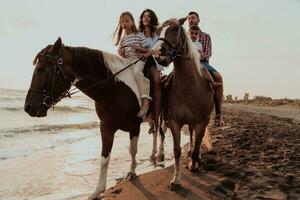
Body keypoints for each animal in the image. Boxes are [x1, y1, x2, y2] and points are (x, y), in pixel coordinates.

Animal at [23, 38, 163, 200]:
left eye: (41, 69)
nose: (28, 107)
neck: (115, 90)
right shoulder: (106, 127)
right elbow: (104, 159)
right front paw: (98, 191)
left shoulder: (134, 126)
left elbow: (132, 150)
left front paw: (131, 172)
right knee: (155, 133)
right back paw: (153, 154)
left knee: (162, 133)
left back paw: (160, 154)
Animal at [154, 19, 214, 191]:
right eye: (158, 31)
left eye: (175, 29)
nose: (158, 53)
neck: (189, 86)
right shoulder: (175, 121)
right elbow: (177, 151)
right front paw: (176, 180)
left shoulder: (201, 121)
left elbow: (197, 145)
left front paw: (194, 164)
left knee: (196, 140)